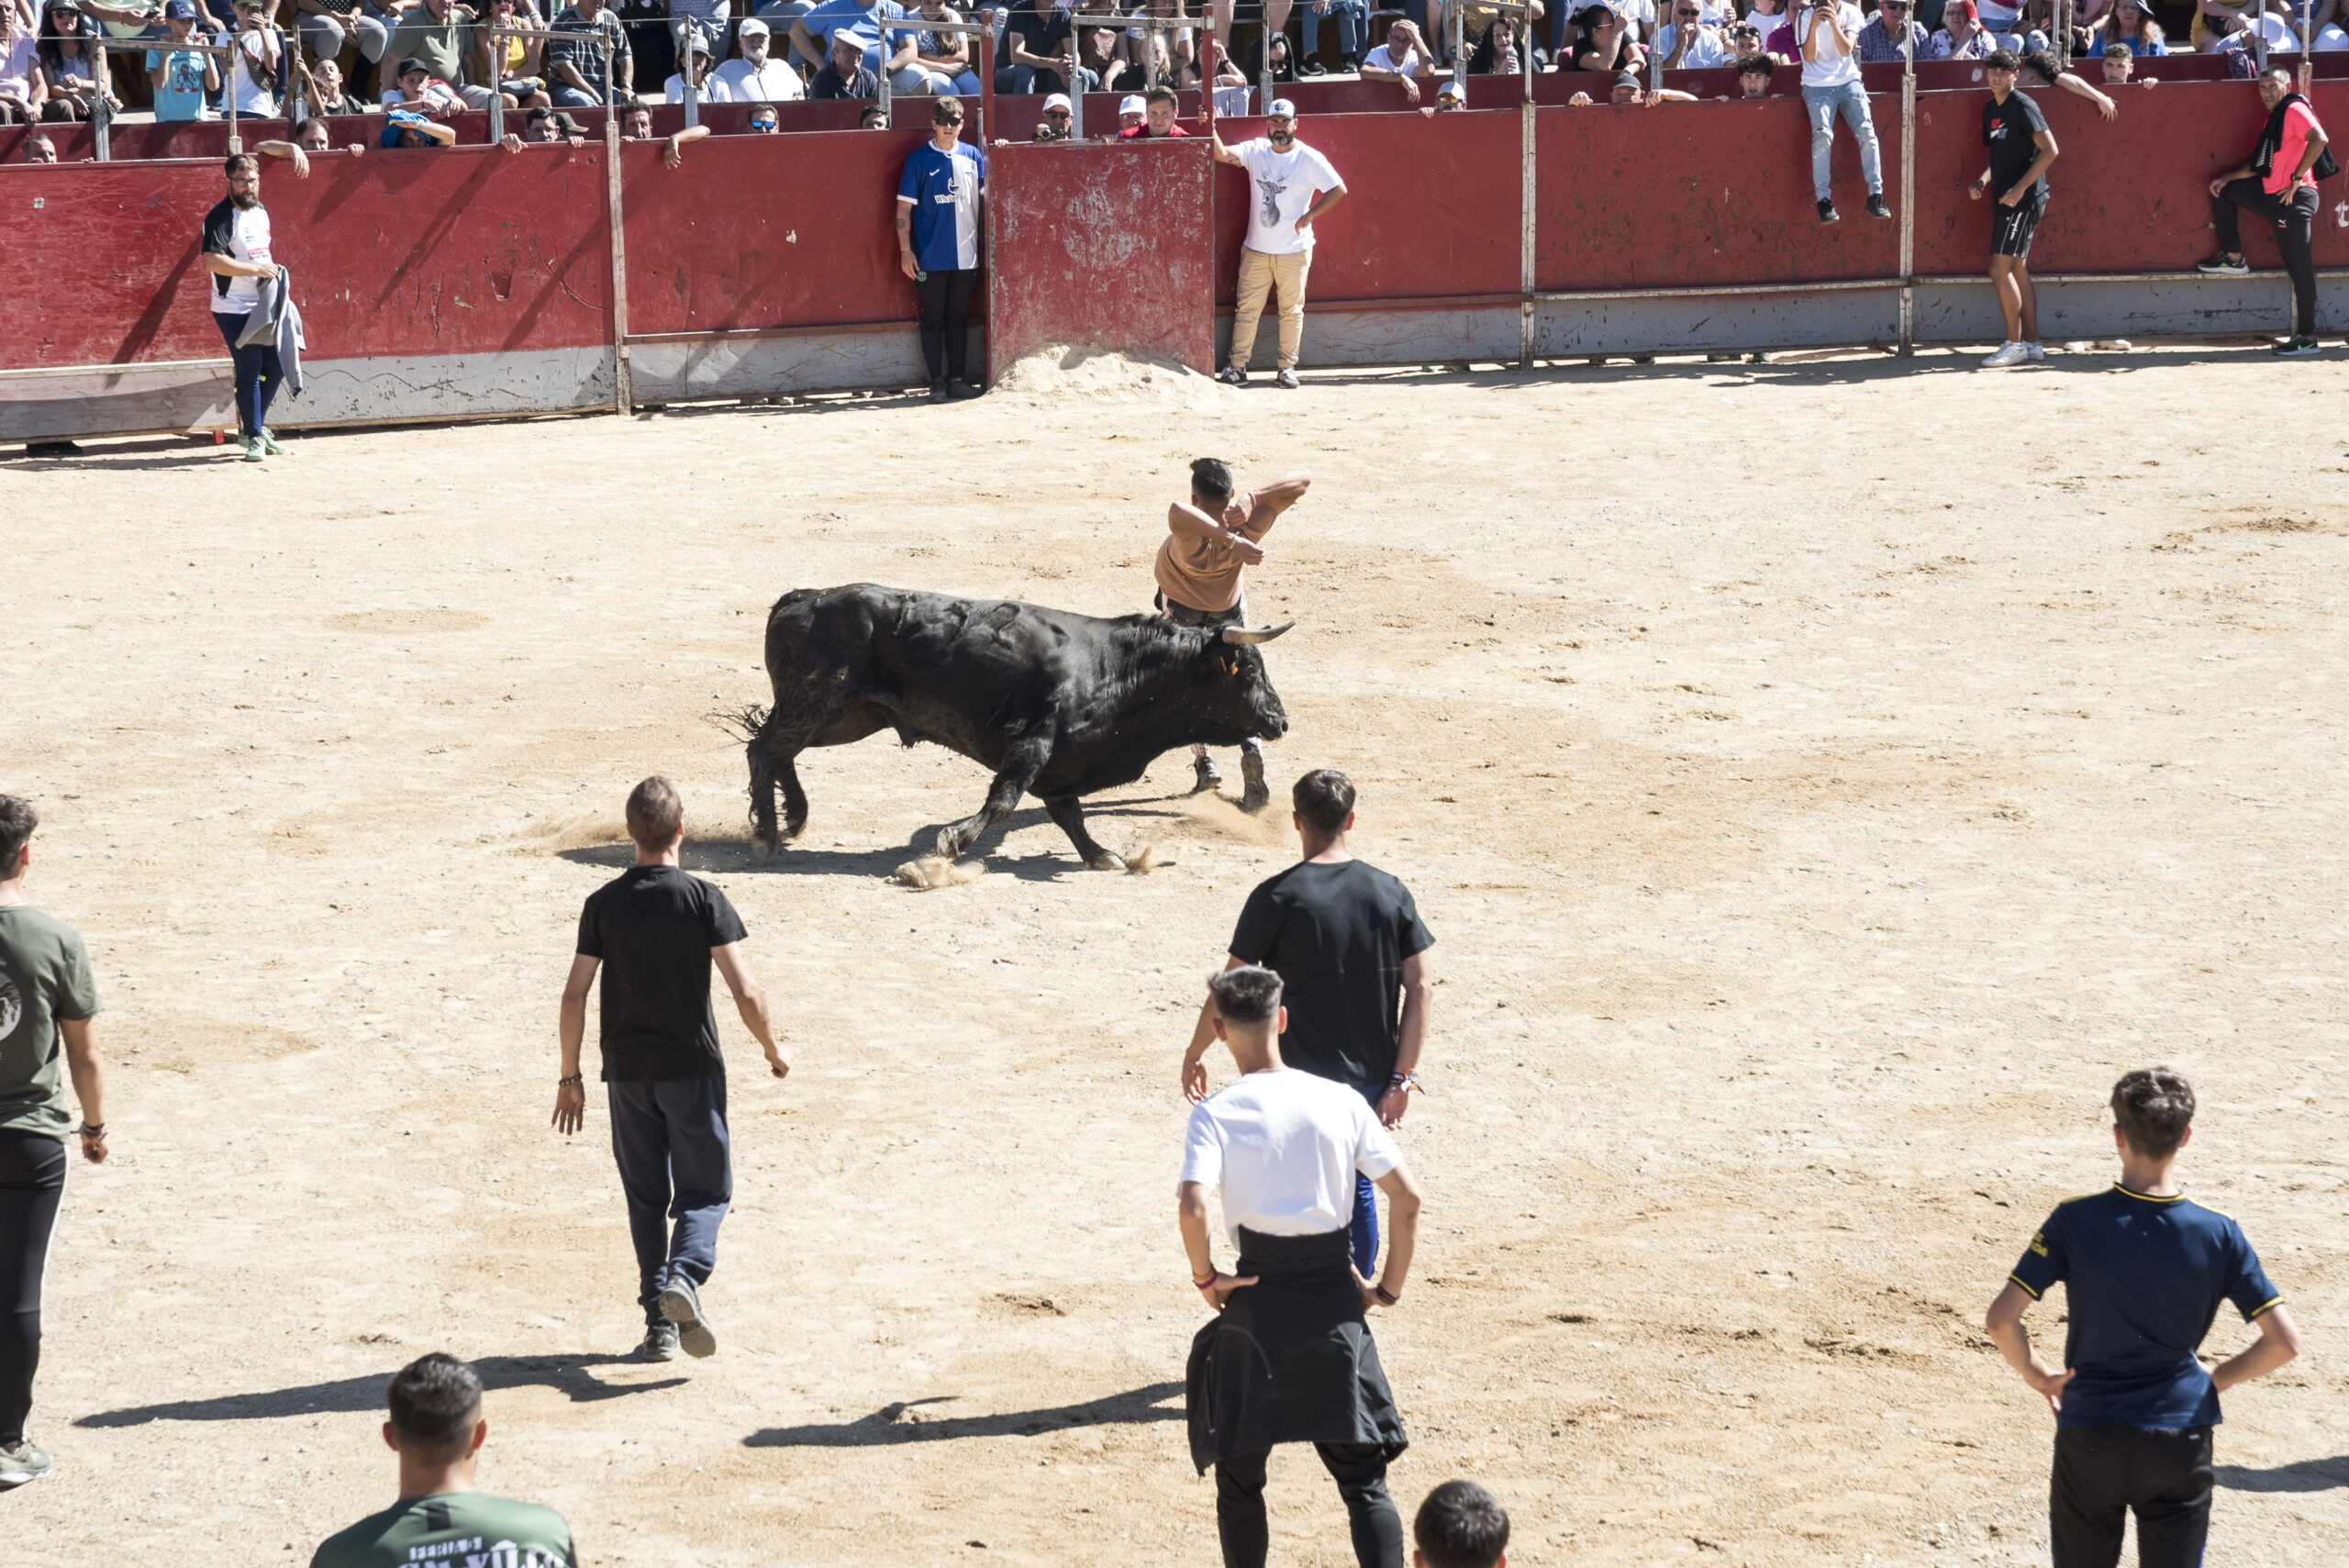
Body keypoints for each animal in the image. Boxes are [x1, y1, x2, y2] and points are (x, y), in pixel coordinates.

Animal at [747, 582, 1297, 868]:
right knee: (765, 750)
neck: (1117, 667)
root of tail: (804, 598)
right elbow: (1004, 801)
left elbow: (1069, 814)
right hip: (819, 703)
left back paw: (793, 819)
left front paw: (1101, 855)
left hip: (846, 717)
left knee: (778, 751)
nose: (1280, 721)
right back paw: (768, 836)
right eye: (1249, 671)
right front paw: (954, 840)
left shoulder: (1065, 762)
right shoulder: (1034, 741)